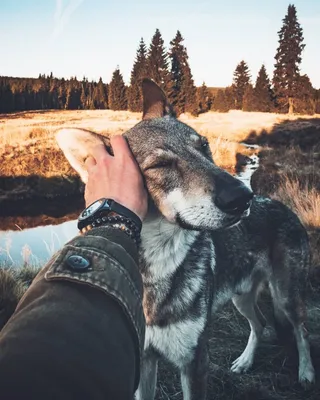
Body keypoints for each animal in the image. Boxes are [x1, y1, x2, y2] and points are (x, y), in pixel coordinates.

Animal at [55, 79, 316, 400]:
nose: (243, 197)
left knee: (302, 330)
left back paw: (306, 373)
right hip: (241, 297)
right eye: (160, 166)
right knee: (261, 324)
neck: (154, 273)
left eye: (204, 146)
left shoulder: (195, 361)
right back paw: (245, 362)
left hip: (285, 297)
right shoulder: (145, 362)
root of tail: (284, 206)